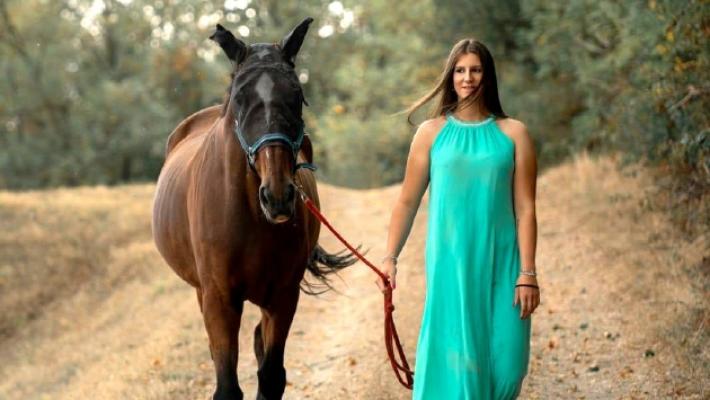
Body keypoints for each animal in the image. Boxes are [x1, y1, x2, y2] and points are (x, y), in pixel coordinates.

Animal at [152, 18, 357, 400]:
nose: (277, 196)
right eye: (239, 100)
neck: (248, 215)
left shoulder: (283, 295)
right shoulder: (219, 300)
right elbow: (227, 386)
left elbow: (271, 374)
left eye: (297, 96)